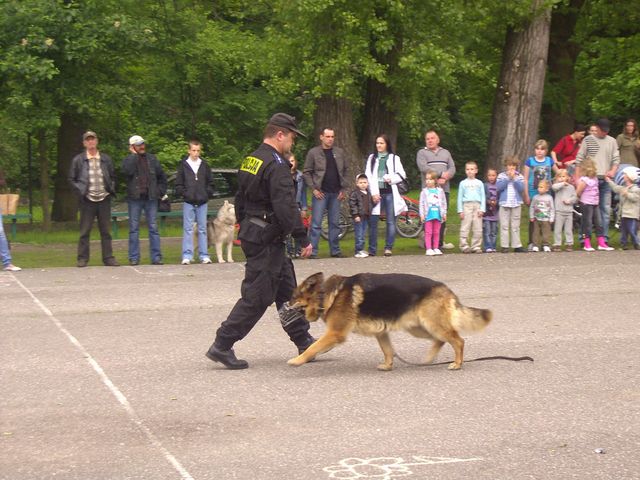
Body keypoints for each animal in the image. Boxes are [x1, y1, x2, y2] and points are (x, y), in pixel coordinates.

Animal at [288, 272, 492, 370]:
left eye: (293, 297)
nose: (284, 304)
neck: (325, 294)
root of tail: (445, 288)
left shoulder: (334, 334)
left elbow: (312, 347)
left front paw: (298, 360)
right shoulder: (381, 333)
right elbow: (387, 350)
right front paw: (387, 366)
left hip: (432, 325)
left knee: (458, 340)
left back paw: (457, 363)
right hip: (419, 328)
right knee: (441, 340)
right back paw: (430, 358)